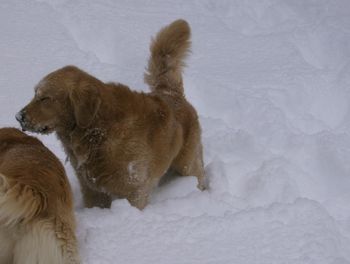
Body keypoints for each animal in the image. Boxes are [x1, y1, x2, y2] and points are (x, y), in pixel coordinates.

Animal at [16, 19, 206, 210]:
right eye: (35, 94)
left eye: (45, 98)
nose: (18, 117)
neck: (98, 129)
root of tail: (171, 93)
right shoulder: (92, 190)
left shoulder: (135, 190)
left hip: (187, 164)